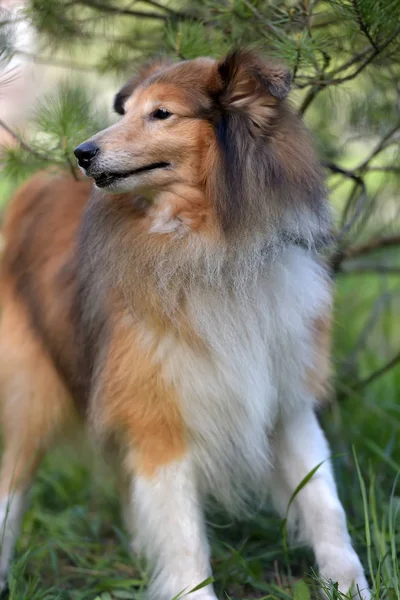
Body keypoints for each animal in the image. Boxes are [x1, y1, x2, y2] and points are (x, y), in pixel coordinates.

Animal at [0, 49, 370, 596]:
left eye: (161, 113)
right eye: (126, 110)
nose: (82, 152)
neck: (212, 247)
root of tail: (34, 187)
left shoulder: (285, 399)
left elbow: (326, 504)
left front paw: (350, 585)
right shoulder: (158, 416)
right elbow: (185, 537)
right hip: (34, 392)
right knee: (12, 484)